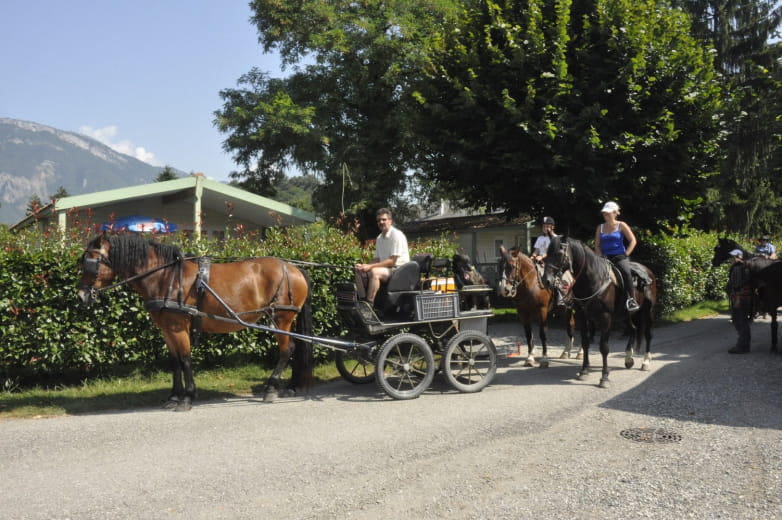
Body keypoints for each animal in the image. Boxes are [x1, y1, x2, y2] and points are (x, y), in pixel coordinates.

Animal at [76, 235, 314, 410]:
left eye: (92, 262)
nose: (81, 296)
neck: (166, 277)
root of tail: (293, 268)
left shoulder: (178, 327)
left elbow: (186, 359)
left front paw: (187, 398)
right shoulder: (166, 329)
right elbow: (174, 361)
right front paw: (174, 396)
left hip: (281, 317)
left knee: (287, 349)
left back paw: (271, 389)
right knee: (295, 346)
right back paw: (291, 386)